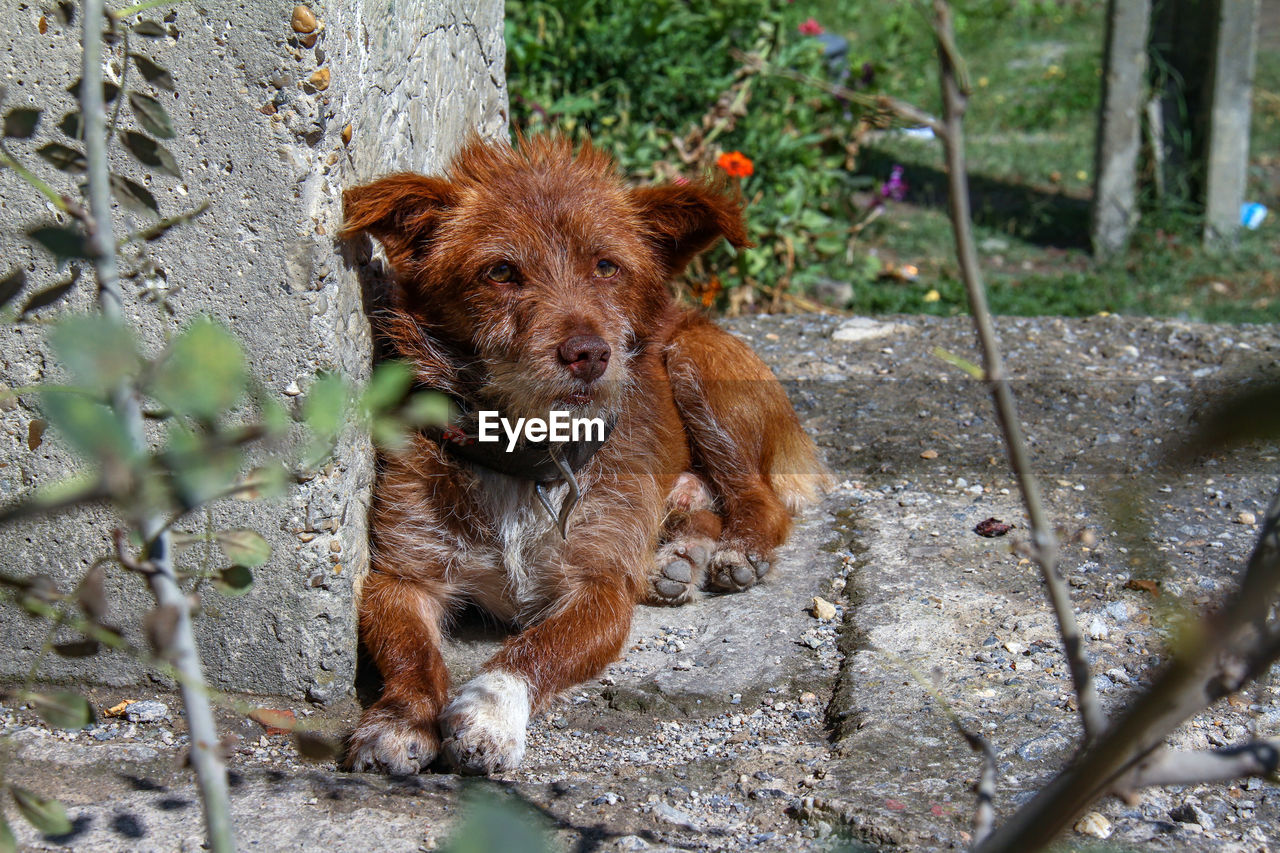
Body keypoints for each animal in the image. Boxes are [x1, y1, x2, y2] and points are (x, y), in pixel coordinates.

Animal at [335, 136, 824, 773]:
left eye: (607, 267)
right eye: (501, 272)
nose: (589, 353)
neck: (526, 454)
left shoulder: (599, 590)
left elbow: (533, 650)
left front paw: (491, 713)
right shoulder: (399, 578)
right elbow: (409, 651)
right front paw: (398, 719)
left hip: (696, 365)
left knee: (758, 496)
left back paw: (735, 550)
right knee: (702, 498)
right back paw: (677, 556)